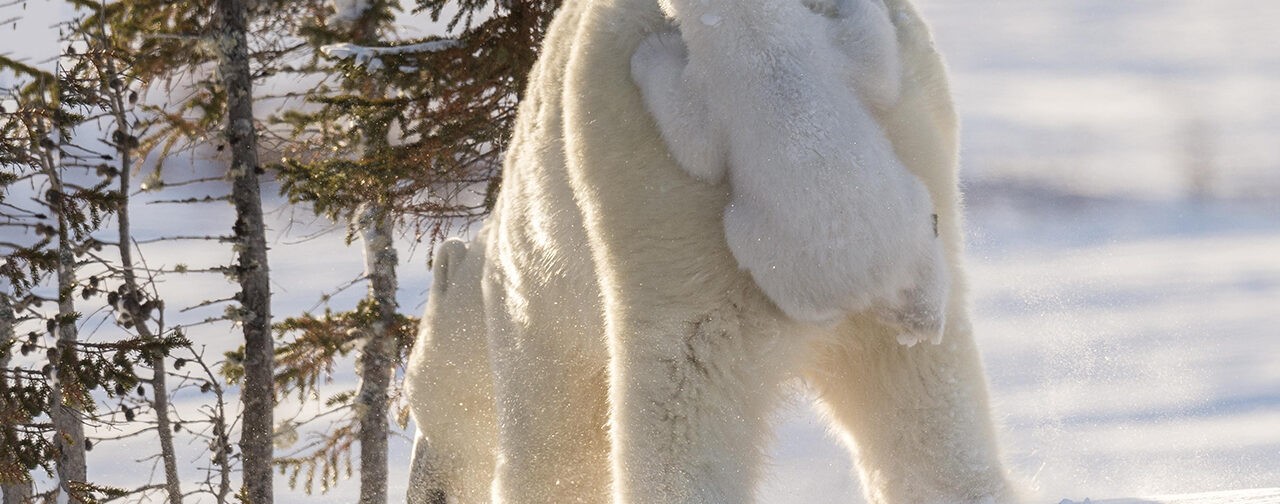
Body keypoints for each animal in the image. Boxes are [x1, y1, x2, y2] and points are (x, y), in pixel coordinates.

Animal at [404, 0, 1013, 498]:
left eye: (408, 399)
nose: (423, 490)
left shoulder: (533, 308)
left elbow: (555, 450)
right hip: (919, 152)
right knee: (930, 412)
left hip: (659, 209)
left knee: (680, 405)